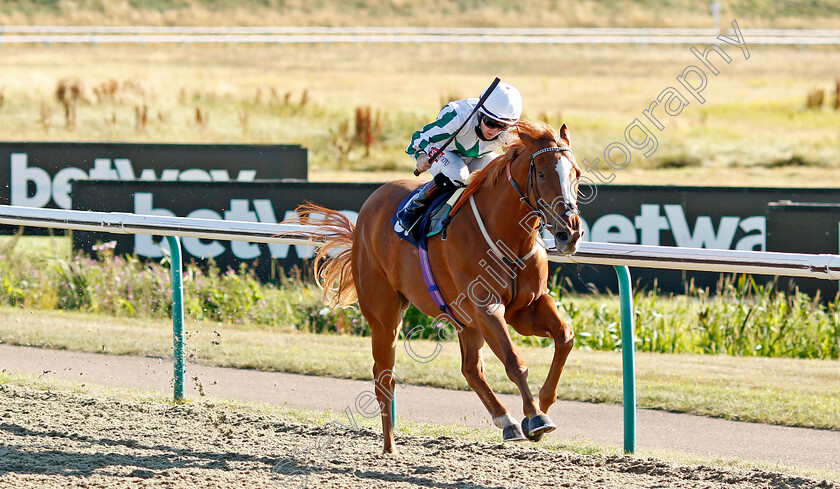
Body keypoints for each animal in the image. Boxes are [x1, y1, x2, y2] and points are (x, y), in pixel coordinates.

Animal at [286, 120, 580, 452]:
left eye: (576, 174)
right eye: (541, 174)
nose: (570, 232)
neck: (507, 235)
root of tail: (366, 211)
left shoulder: (525, 307)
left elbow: (564, 337)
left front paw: (544, 402)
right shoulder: (486, 307)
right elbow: (514, 361)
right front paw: (536, 417)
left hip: (464, 321)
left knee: (471, 369)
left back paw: (505, 421)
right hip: (384, 314)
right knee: (384, 376)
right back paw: (390, 447)